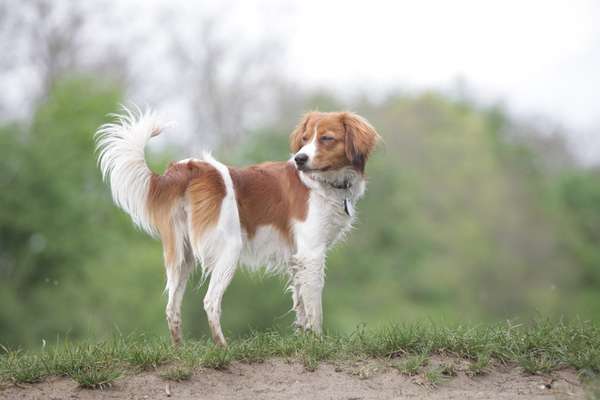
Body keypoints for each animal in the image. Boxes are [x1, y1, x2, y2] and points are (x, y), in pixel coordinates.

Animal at [96, 108, 382, 346]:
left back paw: (179, 350)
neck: (323, 183)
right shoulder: (311, 254)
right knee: (210, 302)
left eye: (326, 138)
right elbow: (314, 307)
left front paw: (301, 341)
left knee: (171, 307)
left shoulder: (296, 257)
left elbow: (300, 304)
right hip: (229, 250)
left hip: (181, 256)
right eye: (304, 139)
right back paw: (223, 347)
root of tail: (190, 169)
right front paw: (317, 344)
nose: (300, 159)